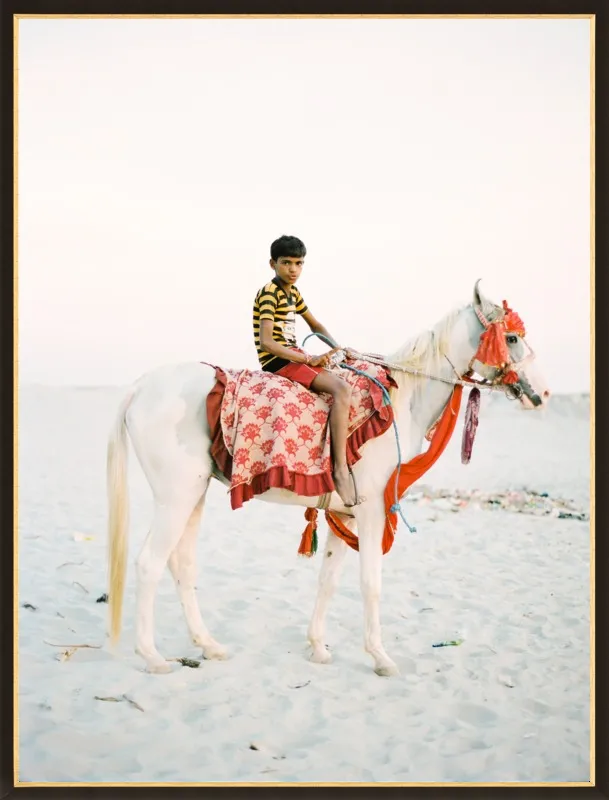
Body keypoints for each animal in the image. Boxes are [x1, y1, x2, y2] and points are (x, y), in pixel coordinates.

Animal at [106, 280, 550, 677]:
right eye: (511, 337)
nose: (542, 394)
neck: (400, 400)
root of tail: (140, 388)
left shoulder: (346, 514)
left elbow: (329, 581)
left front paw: (318, 647)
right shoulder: (371, 513)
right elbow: (371, 582)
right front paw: (380, 657)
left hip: (191, 495)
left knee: (181, 564)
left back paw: (209, 646)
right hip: (177, 497)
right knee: (149, 563)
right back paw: (152, 657)